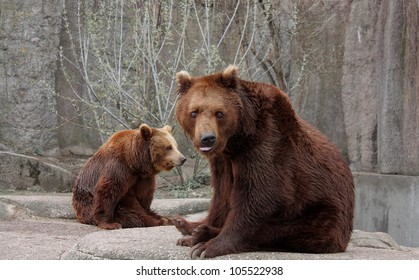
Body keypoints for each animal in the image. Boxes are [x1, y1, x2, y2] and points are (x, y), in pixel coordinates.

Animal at [173, 65, 354, 258]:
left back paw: (201, 235)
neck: (237, 140)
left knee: (277, 231)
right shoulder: (223, 161)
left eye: (219, 112)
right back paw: (187, 226)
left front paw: (206, 247)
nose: (207, 138)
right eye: (194, 112)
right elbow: (222, 196)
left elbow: (259, 197)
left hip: (320, 214)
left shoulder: (267, 144)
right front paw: (193, 229)